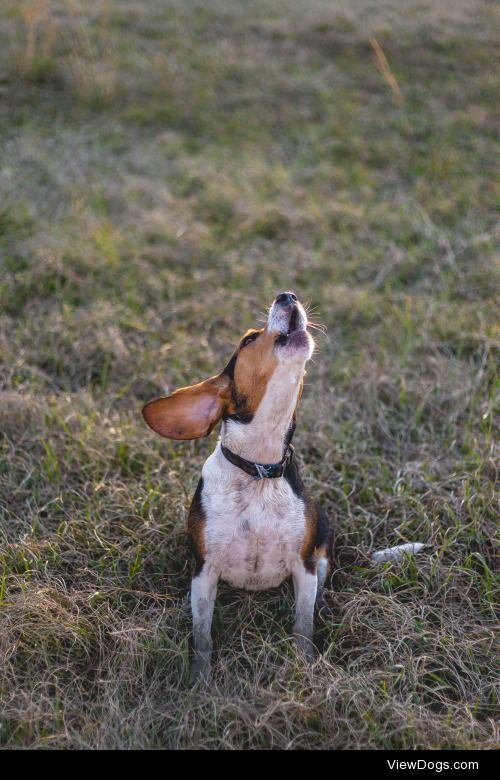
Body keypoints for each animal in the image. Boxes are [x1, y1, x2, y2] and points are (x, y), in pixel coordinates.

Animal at [142, 290, 426, 680]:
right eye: (248, 340)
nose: (287, 295)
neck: (259, 471)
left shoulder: (303, 568)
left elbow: (303, 626)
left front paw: (303, 665)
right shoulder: (204, 573)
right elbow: (203, 637)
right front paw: (201, 679)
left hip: (321, 554)